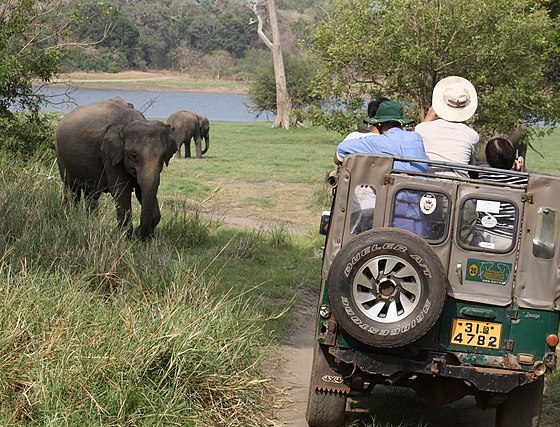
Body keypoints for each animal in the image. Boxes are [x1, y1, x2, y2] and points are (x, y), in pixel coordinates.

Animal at [55, 98, 176, 241]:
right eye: (133, 155)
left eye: (163, 157)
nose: (138, 232)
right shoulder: (109, 154)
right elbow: (121, 190)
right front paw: (125, 238)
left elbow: (142, 191)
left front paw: (143, 238)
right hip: (61, 157)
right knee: (71, 189)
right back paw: (71, 219)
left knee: (92, 194)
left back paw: (90, 223)